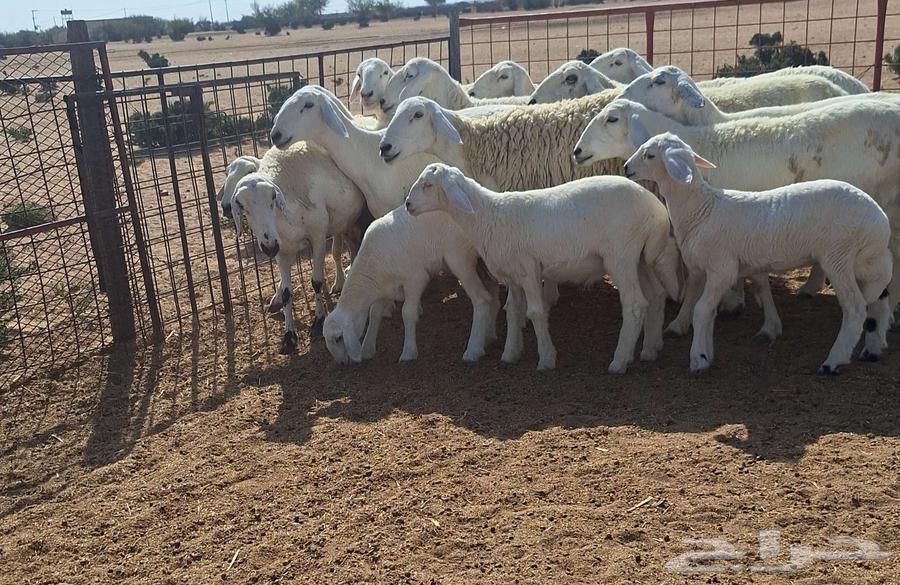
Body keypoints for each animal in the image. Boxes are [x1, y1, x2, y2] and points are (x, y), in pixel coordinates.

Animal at [228, 142, 365, 354]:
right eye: (242, 206)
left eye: (272, 199)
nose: (268, 246)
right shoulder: (282, 250)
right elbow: (287, 293)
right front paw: (289, 337)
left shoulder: (318, 237)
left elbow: (316, 281)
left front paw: (319, 320)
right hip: (343, 221)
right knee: (345, 248)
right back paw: (342, 281)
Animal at [323, 207, 500, 364]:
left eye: (338, 338)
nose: (341, 363)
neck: (372, 267)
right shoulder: (385, 289)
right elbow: (374, 315)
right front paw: (367, 348)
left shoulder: (415, 279)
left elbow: (407, 313)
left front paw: (408, 352)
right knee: (491, 293)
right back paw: (488, 336)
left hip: (459, 258)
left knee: (481, 299)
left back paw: (474, 349)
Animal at [404, 163, 681, 372]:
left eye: (428, 185)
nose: (407, 205)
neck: (489, 216)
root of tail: (657, 210)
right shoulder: (512, 274)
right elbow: (512, 311)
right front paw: (510, 353)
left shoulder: (529, 269)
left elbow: (536, 312)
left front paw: (546, 358)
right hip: (641, 257)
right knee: (655, 296)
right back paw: (650, 349)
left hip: (621, 255)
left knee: (634, 305)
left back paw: (619, 361)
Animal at [624, 132, 892, 374]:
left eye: (649, 155)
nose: (626, 168)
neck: (702, 209)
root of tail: (880, 218)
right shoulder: (709, 269)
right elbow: (709, 312)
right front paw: (707, 354)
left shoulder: (722, 268)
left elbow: (701, 310)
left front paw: (697, 358)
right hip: (865, 260)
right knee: (880, 291)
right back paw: (871, 347)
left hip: (838, 255)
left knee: (855, 307)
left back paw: (833, 361)